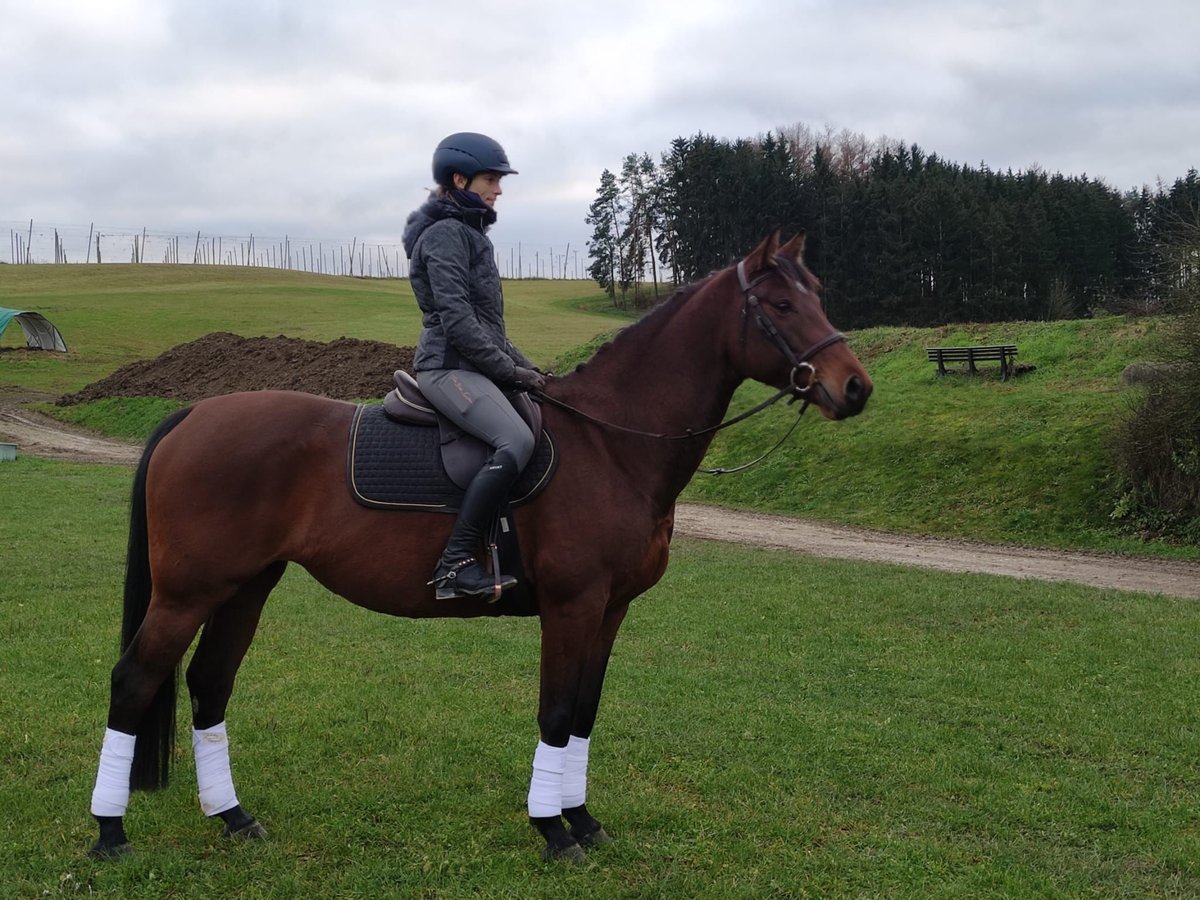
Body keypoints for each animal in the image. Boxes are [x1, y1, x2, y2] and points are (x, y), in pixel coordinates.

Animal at [87, 229, 873, 864]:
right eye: (779, 305)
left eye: (818, 296)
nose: (855, 388)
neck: (611, 444)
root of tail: (192, 415)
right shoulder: (572, 607)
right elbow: (555, 713)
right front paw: (553, 831)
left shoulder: (611, 610)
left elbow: (584, 713)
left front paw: (583, 820)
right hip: (186, 593)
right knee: (134, 682)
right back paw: (109, 833)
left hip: (246, 587)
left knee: (209, 686)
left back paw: (232, 818)